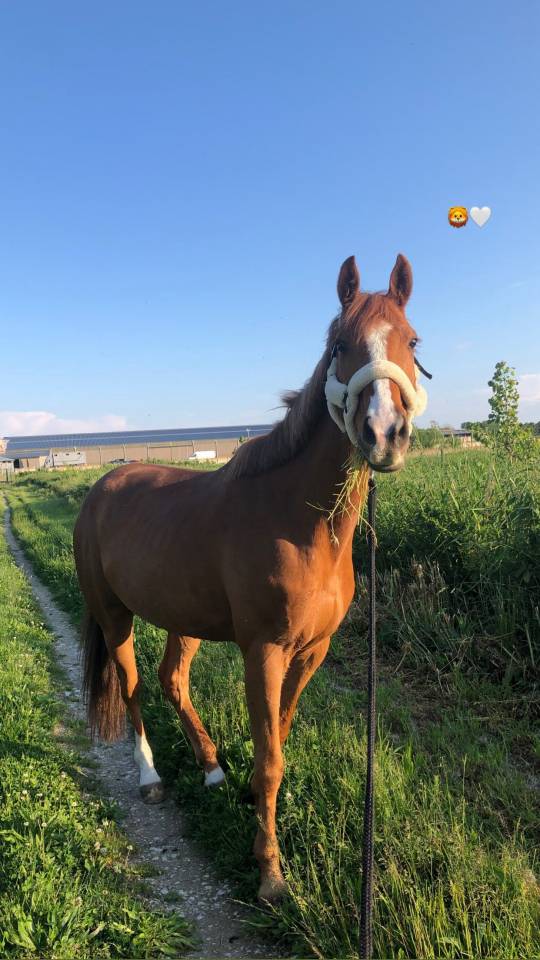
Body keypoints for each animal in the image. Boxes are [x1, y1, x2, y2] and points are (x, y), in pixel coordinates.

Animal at [73, 253, 428, 903]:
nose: (384, 434)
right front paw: (269, 871)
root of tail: (100, 489)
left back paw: (212, 767)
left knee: (172, 680)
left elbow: (278, 738)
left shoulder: (311, 651)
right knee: (133, 686)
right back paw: (150, 775)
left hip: (183, 618)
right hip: (114, 617)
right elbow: (270, 757)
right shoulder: (263, 650)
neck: (297, 522)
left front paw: (247, 799)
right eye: (339, 344)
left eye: (411, 340)